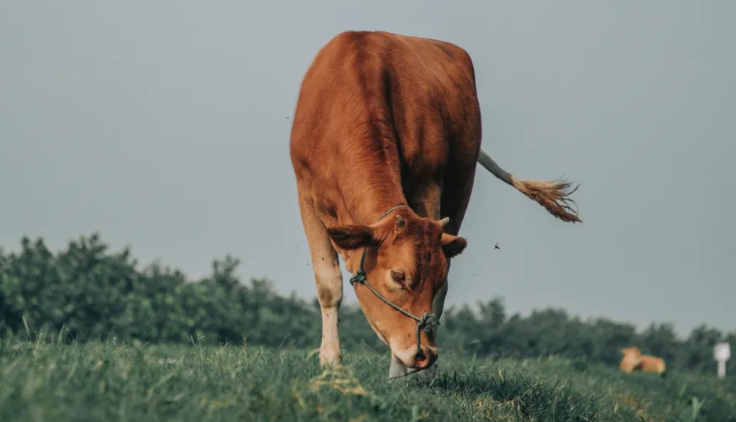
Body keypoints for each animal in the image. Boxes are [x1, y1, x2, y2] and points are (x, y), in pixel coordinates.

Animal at [288, 28, 580, 380]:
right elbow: (328, 284)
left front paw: (402, 372)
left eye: (433, 277)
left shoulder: (429, 182)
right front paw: (330, 363)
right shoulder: (306, 193)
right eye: (398, 276)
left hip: (461, 186)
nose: (424, 354)